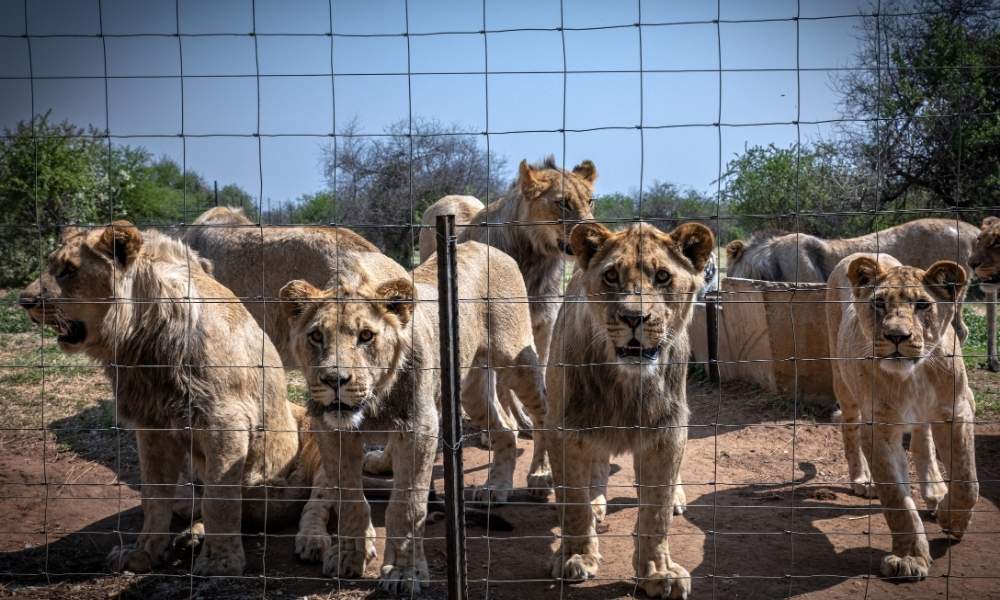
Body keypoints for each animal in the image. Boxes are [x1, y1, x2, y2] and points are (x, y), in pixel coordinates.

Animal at [18, 222, 329, 576]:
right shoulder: (151, 424)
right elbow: (154, 498)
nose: (24, 301)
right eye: (51, 265)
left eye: (69, 270)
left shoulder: (226, 421)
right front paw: (142, 553)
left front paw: (220, 563)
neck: (139, 345)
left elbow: (220, 499)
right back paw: (191, 537)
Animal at [280, 240, 546, 594]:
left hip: (518, 361)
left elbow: (407, 506)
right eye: (316, 336)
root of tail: (485, 245)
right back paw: (495, 488)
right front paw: (349, 556)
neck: (374, 400)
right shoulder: (331, 430)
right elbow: (348, 498)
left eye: (366, 336)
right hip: (471, 387)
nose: (334, 380)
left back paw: (542, 477)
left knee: (545, 417)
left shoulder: (418, 429)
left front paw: (403, 573)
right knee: (505, 430)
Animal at [543, 221, 714, 598]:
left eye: (663, 276)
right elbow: (573, 501)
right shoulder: (564, 429)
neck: (626, 383)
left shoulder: (666, 432)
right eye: (610, 276)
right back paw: (596, 505)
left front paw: (658, 573)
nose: (634, 317)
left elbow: (656, 512)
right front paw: (577, 557)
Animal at [826, 252, 978, 581]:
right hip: (843, 383)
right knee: (849, 426)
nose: (896, 336)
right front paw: (909, 559)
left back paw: (935, 490)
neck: (913, 375)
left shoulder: (956, 410)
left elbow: (966, 482)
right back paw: (862, 479)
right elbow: (897, 499)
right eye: (879, 303)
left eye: (922, 304)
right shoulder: (879, 426)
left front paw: (951, 518)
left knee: (922, 436)